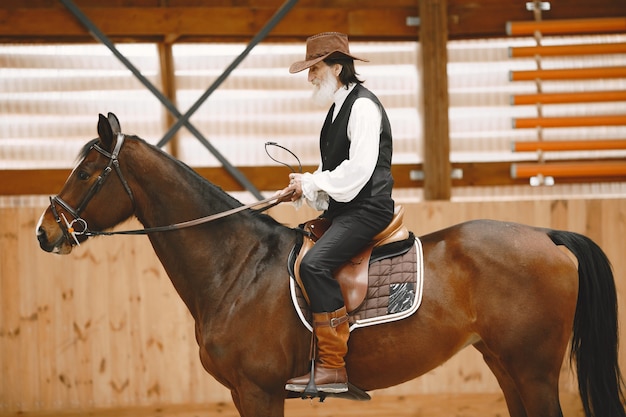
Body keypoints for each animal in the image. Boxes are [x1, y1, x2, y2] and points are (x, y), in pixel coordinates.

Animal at [36, 112, 620, 414]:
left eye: (86, 173)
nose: (46, 232)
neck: (236, 269)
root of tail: (548, 236)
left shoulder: (259, 391)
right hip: (507, 365)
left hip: (534, 369)